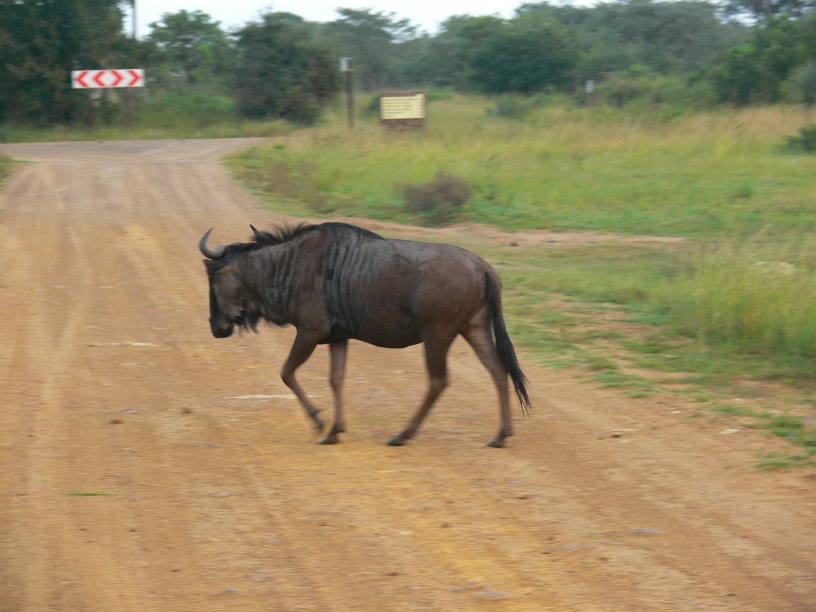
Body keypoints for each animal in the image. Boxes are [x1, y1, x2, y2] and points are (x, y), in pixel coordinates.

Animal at [200, 222, 530, 447]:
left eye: (213, 281)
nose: (216, 329)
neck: (288, 266)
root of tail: (483, 266)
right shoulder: (337, 337)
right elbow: (336, 379)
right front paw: (334, 431)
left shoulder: (309, 332)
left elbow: (286, 372)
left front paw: (319, 422)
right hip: (474, 329)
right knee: (497, 370)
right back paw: (501, 435)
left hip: (437, 335)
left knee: (439, 381)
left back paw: (402, 435)